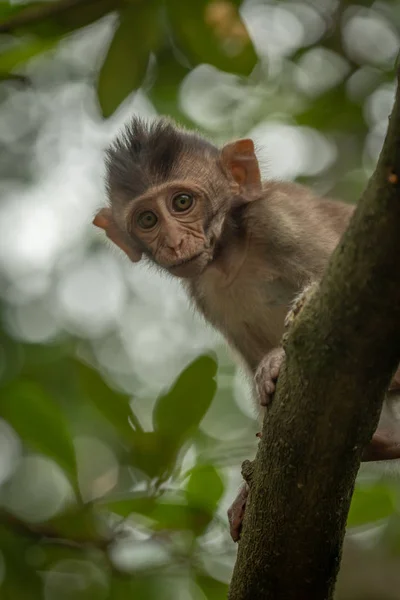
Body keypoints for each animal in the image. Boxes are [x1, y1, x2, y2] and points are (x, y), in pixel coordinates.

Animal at [92, 117, 400, 544]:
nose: (174, 242)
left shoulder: (279, 217)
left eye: (182, 203)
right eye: (147, 220)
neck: (230, 251)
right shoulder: (204, 291)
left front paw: (277, 360)